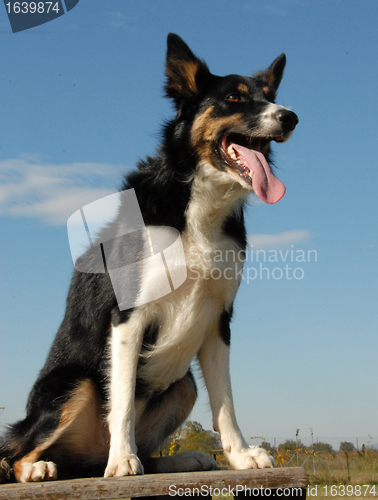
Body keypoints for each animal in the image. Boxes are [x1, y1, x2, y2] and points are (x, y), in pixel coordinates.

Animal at [0, 33, 298, 482]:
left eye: (271, 97)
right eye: (234, 98)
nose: (291, 117)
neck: (197, 204)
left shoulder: (218, 320)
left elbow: (225, 403)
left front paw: (242, 456)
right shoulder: (129, 318)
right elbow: (122, 402)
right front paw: (123, 461)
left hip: (183, 384)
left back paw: (181, 459)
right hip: (75, 384)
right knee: (15, 455)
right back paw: (43, 467)